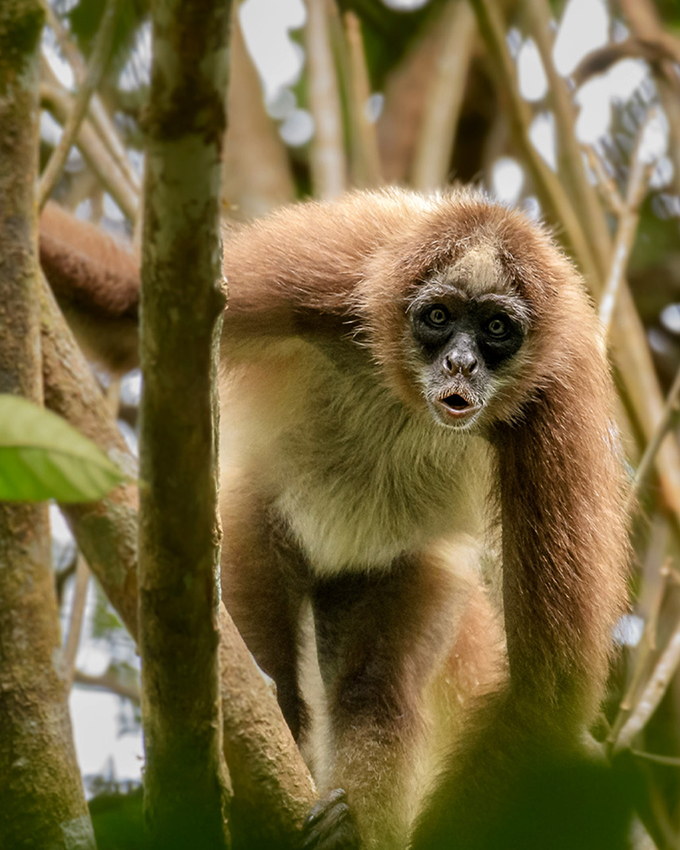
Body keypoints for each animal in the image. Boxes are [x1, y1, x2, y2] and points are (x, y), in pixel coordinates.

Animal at [38, 188, 630, 850]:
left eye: (496, 328)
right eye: (439, 317)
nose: (459, 364)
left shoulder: (558, 396)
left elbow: (546, 688)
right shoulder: (329, 272)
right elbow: (129, 311)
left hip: (390, 572)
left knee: (375, 692)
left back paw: (343, 823)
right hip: (256, 524)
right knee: (272, 667)